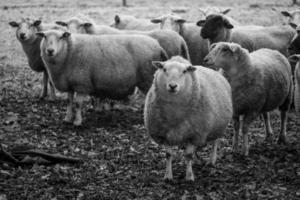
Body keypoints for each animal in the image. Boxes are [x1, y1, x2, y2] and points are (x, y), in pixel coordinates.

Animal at [36, 29, 168, 126]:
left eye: (60, 37)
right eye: (44, 37)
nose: (50, 50)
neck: (70, 51)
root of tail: (158, 45)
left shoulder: (82, 83)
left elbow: (77, 104)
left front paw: (77, 122)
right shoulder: (71, 84)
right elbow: (69, 102)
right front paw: (67, 119)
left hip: (147, 78)